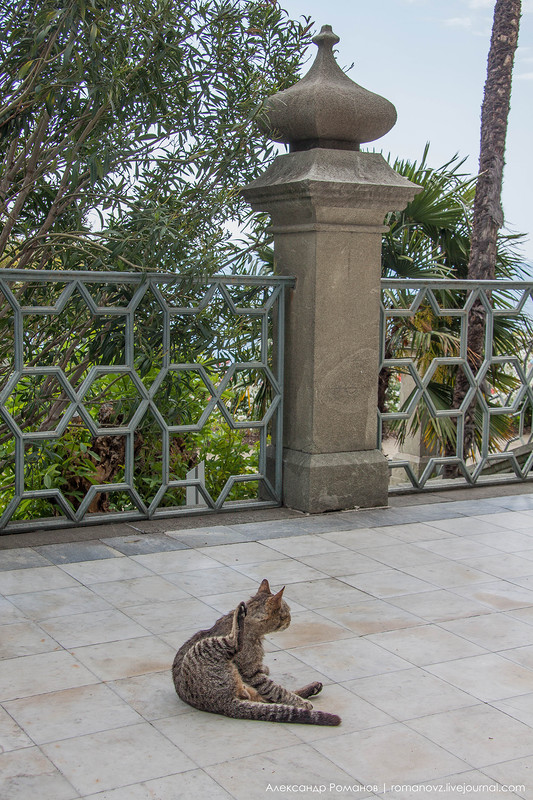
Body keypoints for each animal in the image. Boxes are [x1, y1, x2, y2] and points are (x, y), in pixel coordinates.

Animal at [172, 576, 342, 724]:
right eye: (287, 612)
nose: (290, 620)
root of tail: (224, 704)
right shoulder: (252, 673)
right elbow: (277, 690)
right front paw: (300, 703)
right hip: (210, 646)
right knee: (235, 643)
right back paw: (239, 613)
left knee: (267, 699)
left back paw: (313, 688)